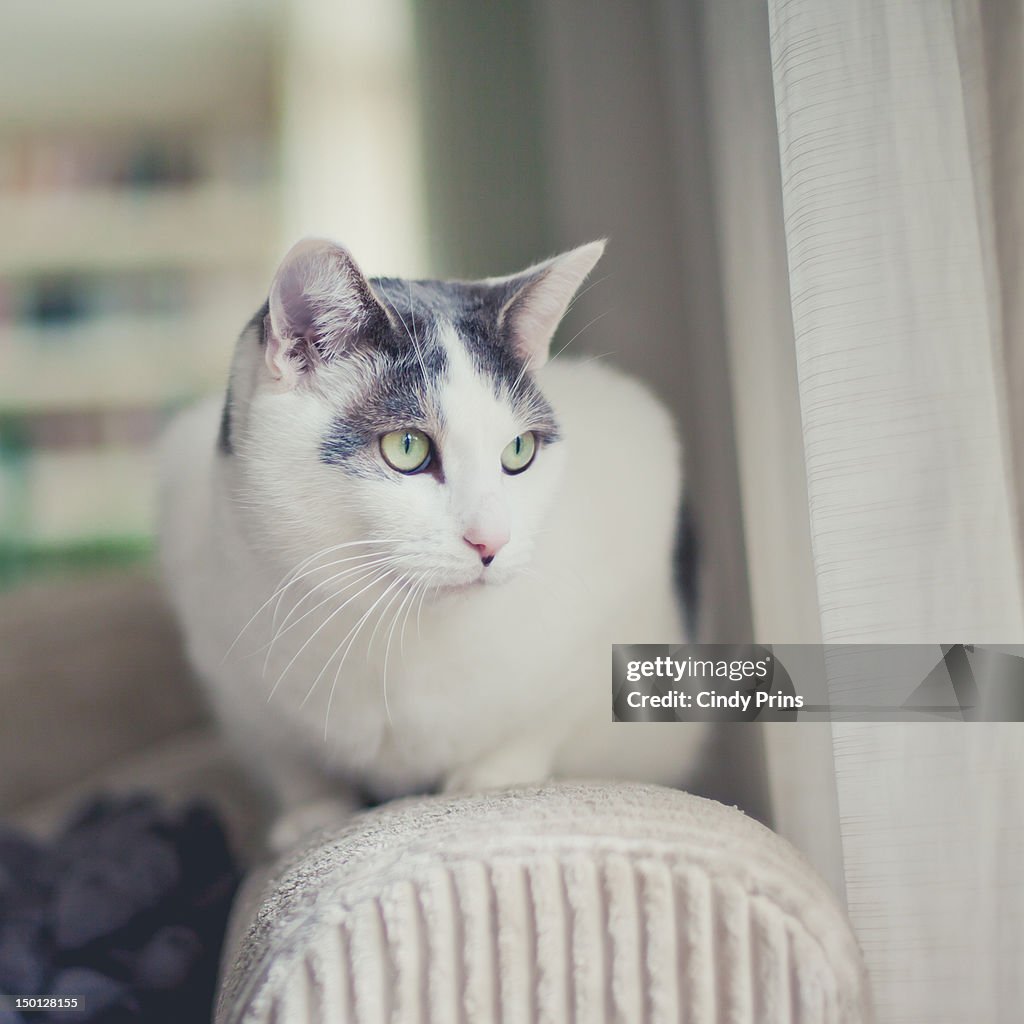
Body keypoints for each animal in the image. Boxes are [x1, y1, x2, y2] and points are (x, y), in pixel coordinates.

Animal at [159, 237, 704, 847]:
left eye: (519, 450)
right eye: (407, 447)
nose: (491, 541)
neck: (388, 630)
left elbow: (546, 716)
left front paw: (491, 778)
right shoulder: (233, 684)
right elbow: (287, 759)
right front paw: (311, 814)